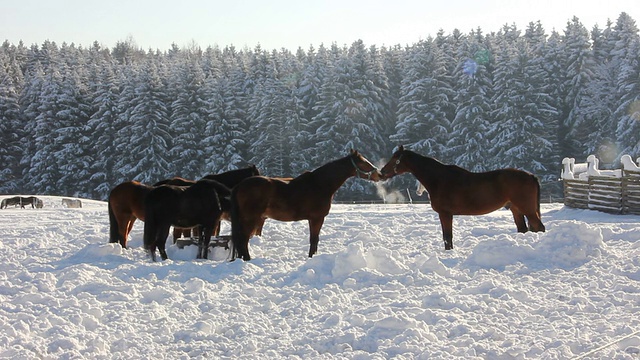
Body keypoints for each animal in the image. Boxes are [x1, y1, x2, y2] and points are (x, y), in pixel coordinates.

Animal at [108, 165, 260, 248]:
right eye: (256, 176)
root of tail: (115, 190)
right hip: (124, 217)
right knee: (122, 234)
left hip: (131, 218)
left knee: (124, 233)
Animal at [229, 149, 380, 262]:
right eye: (364, 162)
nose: (379, 174)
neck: (319, 184)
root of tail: (240, 185)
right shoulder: (317, 218)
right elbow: (314, 239)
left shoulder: (312, 219)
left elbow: (314, 240)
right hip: (250, 219)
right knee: (243, 240)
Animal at [380, 146, 544, 250]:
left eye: (396, 159)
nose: (382, 172)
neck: (439, 179)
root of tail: (531, 176)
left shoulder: (445, 214)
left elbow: (447, 237)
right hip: (516, 210)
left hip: (527, 209)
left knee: (540, 227)